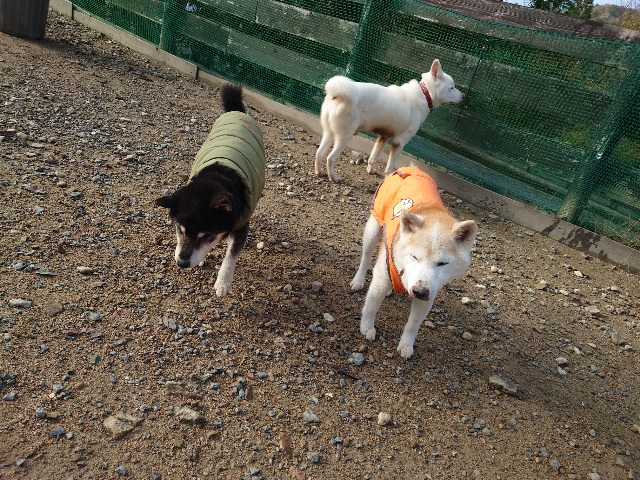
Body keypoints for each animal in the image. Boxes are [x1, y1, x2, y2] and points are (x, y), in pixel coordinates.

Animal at [155, 83, 266, 297]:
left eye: (206, 235)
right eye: (179, 230)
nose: (182, 263)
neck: (219, 174)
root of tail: (237, 112)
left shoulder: (241, 226)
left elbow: (231, 256)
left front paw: (223, 282)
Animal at [315, 59, 464, 182]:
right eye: (452, 87)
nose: (463, 95)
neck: (425, 93)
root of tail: (336, 95)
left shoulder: (383, 137)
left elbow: (373, 157)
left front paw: (371, 171)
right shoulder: (399, 142)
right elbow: (390, 167)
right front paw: (388, 180)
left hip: (329, 133)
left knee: (319, 153)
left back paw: (319, 172)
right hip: (344, 137)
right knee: (330, 158)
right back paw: (333, 177)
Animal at [350, 166, 477, 359]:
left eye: (442, 263)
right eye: (414, 257)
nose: (419, 291)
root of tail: (410, 167)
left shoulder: (429, 294)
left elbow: (413, 325)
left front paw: (406, 345)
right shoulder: (381, 278)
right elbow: (371, 306)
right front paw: (366, 327)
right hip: (373, 228)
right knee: (365, 257)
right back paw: (358, 280)